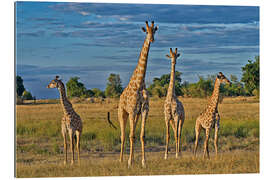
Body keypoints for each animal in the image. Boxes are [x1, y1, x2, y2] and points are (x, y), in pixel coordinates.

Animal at [118, 20, 158, 167]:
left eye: (154, 31)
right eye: (146, 31)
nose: (151, 39)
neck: (140, 82)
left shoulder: (144, 110)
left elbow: (141, 135)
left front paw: (143, 161)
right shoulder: (132, 110)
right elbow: (131, 135)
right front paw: (129, 162)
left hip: (135, 115)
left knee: (132, 133)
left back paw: (133, 158)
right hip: (122, 113)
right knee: (124, 135)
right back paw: (121, 159)